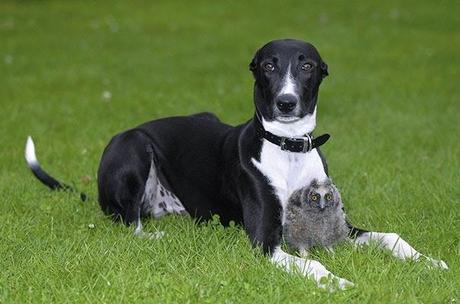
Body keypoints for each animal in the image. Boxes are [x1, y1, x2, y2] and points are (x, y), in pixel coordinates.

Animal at [24, 39, 446, 288]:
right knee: (129, 222)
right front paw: (336, 282)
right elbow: (311, 264)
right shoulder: (265, 242)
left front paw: (429, 262)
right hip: (134, 146)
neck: (289, 147)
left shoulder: (339, 223)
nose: (286, 103)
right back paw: (151, 234)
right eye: (268, 66)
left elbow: (390, 236)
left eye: (307, 65)